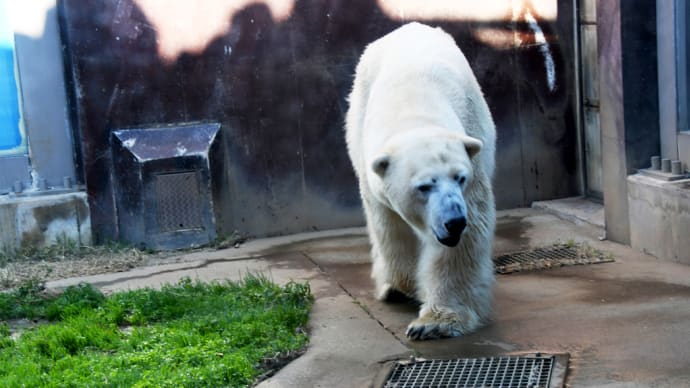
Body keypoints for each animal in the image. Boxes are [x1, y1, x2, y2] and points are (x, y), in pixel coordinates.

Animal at [344, 23, 494, 340]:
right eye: (424, 186)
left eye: (460, 178)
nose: (454, 222)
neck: (414, 109)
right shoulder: (371, 166)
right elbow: (391, 226)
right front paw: (400, 287)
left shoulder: (471, 154)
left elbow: (468, 232)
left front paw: (434, 322)